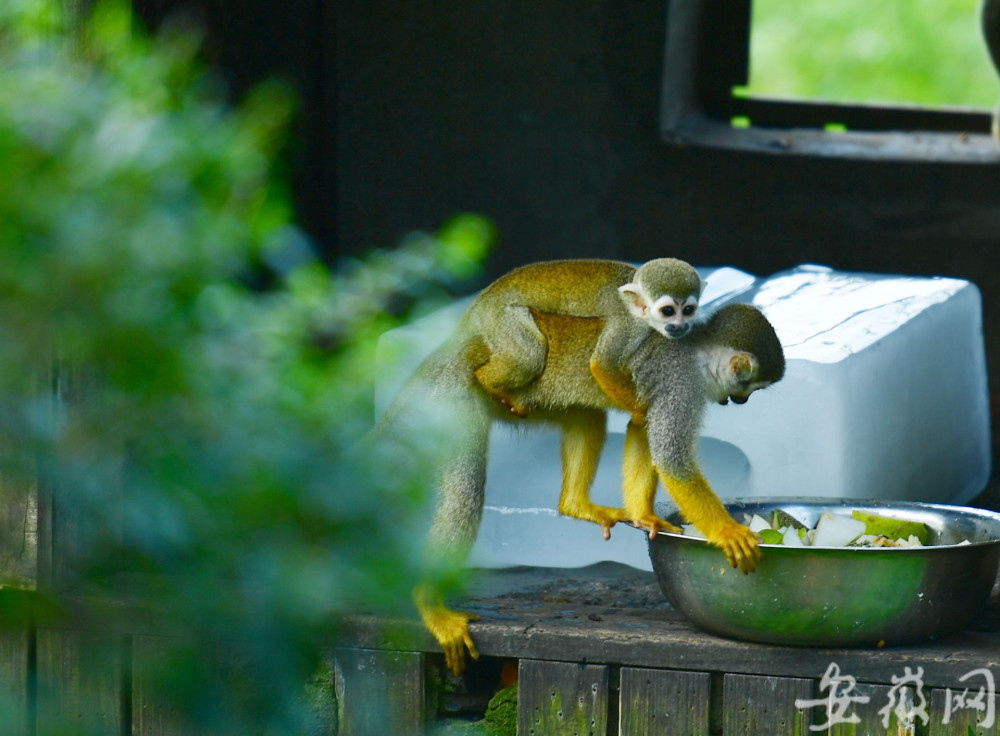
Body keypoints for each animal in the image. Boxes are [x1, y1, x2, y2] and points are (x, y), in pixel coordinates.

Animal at [470, 258, 700, 414]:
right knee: (528, 357)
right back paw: (489, 383)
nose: (680, 325)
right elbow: (603, 364)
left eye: (688, 310)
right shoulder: (629, 324)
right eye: (668, 311)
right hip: (498, 316)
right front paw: (641, 413)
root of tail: (483, 297)